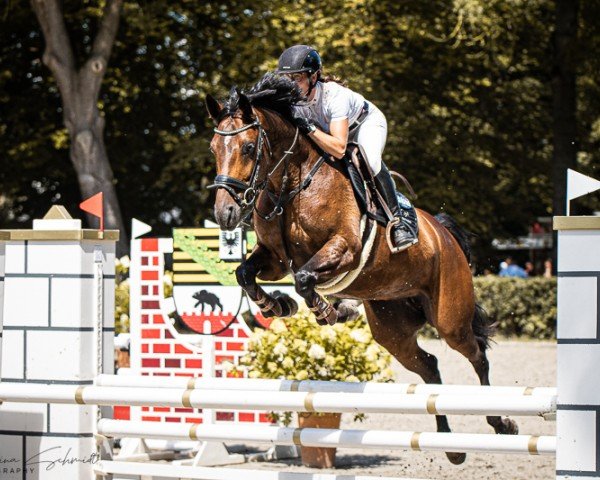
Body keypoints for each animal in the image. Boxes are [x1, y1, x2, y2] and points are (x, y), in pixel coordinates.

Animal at [204, 73, 516, 464]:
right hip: (392, 327)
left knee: (477, 354)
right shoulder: (275, 259)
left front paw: (330, 311)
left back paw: (501, 423)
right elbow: (245, 274)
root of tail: (444, 233)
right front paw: (279, 305)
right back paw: (450, 446)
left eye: (247, 148)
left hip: (450, 318)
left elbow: (304, 279)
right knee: (429, 364)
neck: (292, 182)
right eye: (213, 148)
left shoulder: (344, 249)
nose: (224, 213)